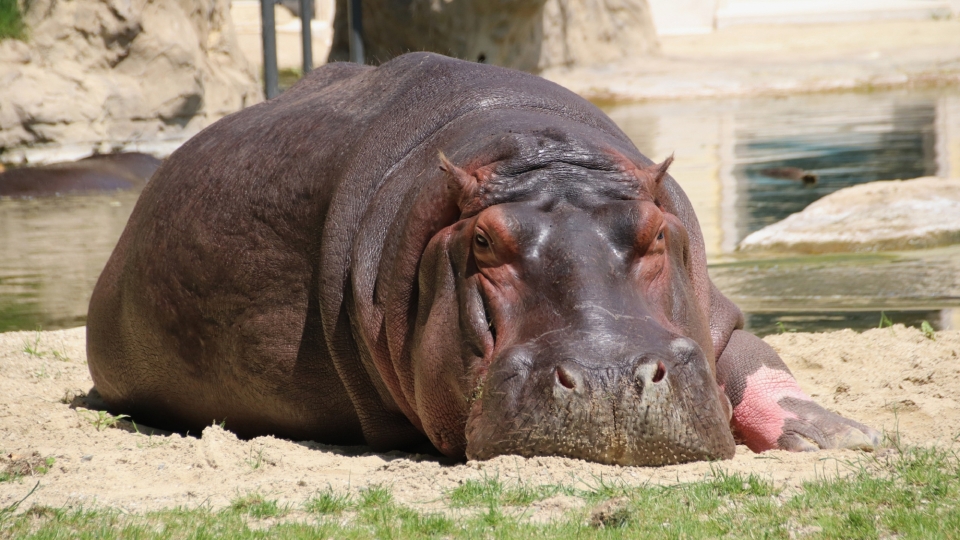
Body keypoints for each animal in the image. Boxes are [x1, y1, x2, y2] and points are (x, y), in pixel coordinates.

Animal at [88, 54, 876, 466]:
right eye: (483, 242)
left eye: (656, 232)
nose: (609, 379)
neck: (539, 156)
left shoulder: (713, 312)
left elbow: (752, 361)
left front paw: (843, 436)